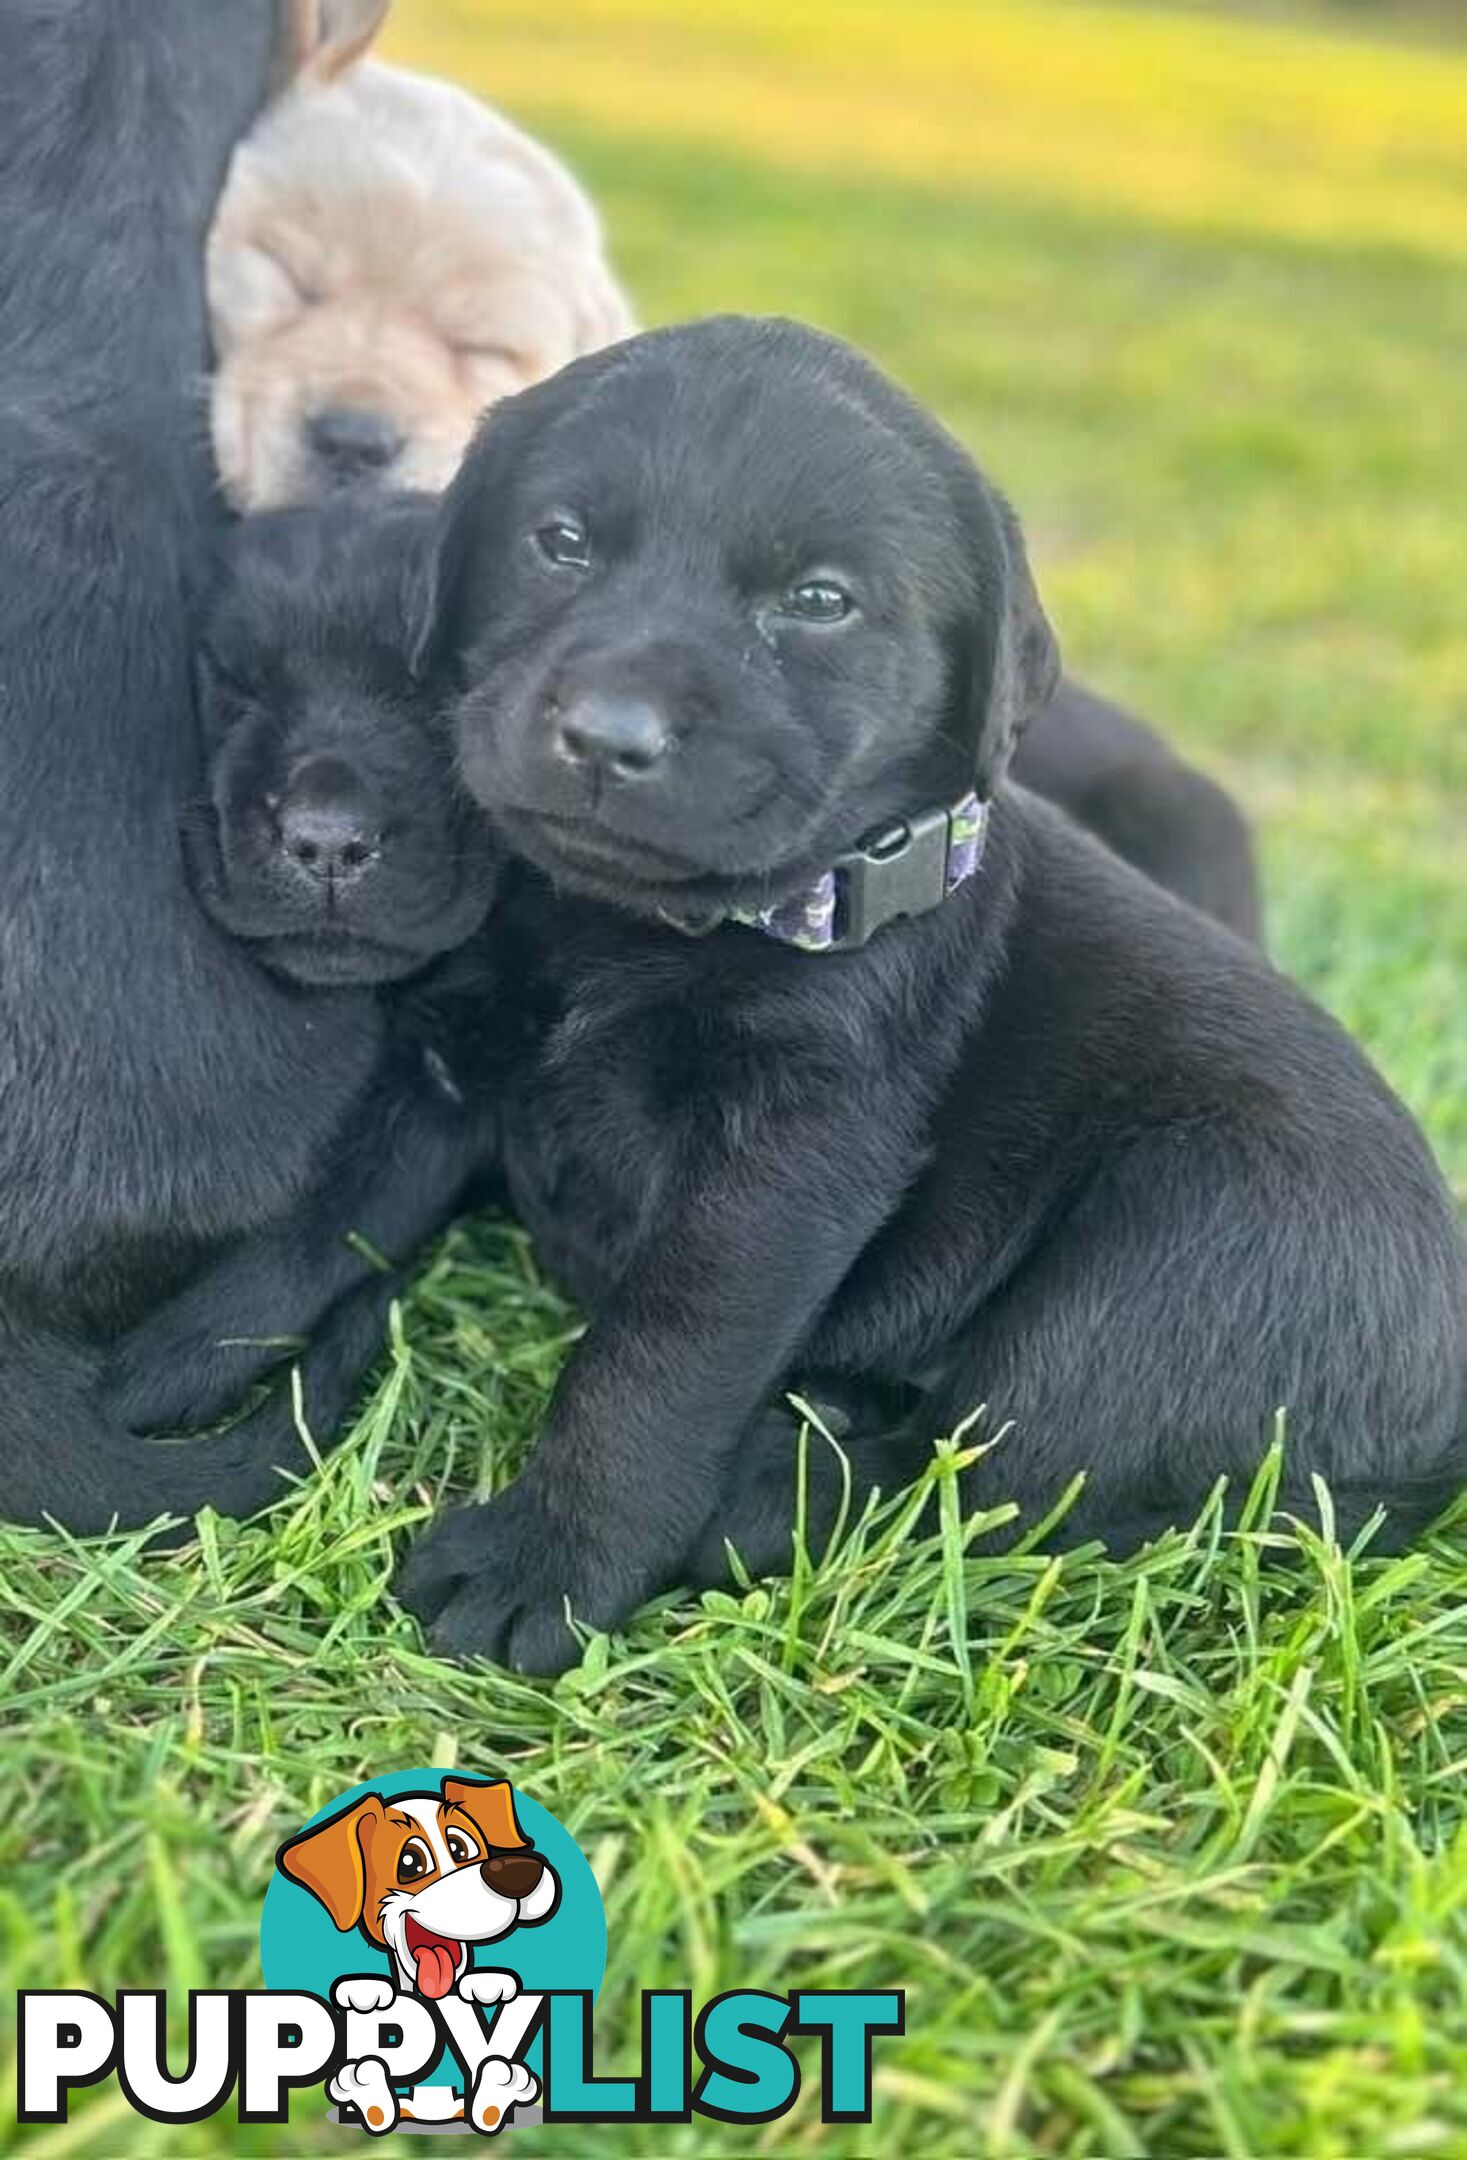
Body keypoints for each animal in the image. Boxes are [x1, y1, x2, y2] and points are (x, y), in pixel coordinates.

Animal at [382, 315, 1467, 1667]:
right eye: (561, 540)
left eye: (818, 603)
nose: (607, 733)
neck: (643, 926)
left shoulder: (789, 1164)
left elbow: (659, 1360)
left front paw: (548, 1557)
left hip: (1198, 1237)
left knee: (1012, 1468)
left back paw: (769, 1493)